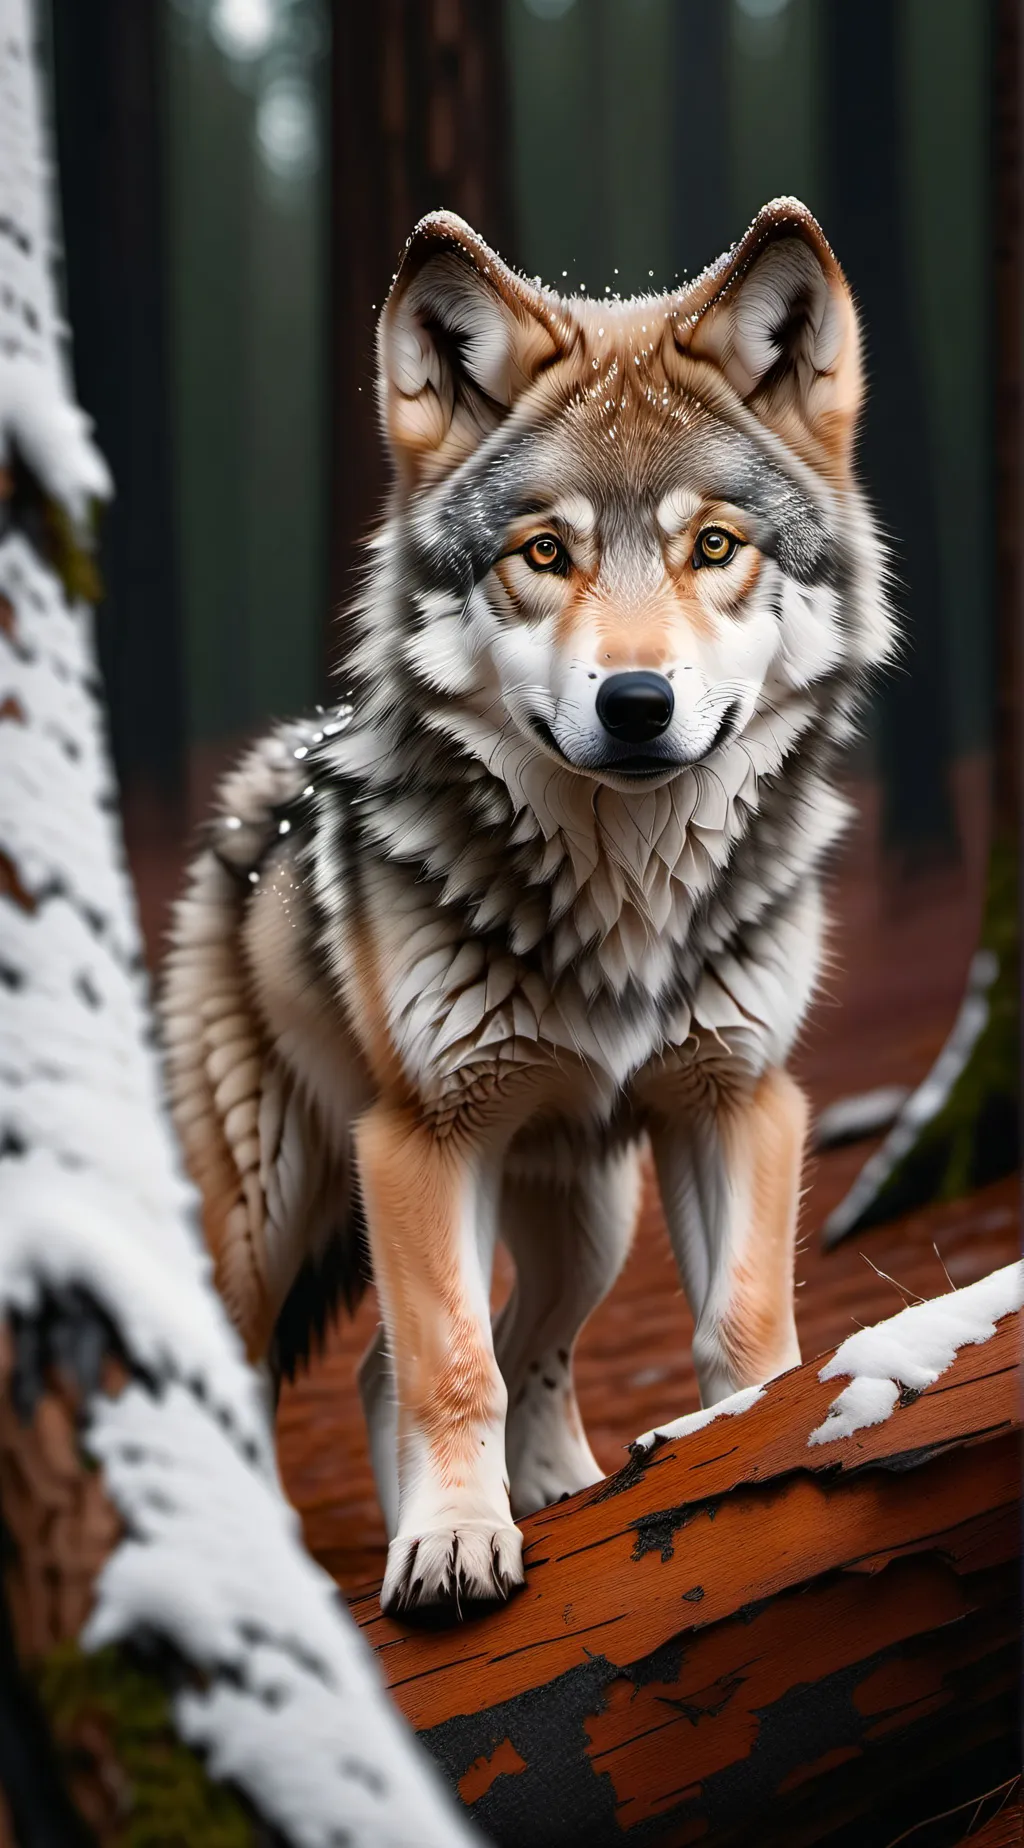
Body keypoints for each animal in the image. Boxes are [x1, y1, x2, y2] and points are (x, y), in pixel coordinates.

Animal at [161, 198, 893, 1618]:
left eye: (712, 547)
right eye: (544, 554)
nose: (636, 704)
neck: (624, 902)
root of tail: (272, 765)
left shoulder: (739, 1100)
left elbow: (740, 1328)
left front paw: (745, 1464)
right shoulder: (419, 1138)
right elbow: (454, 1367)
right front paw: (450, 1547)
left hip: (584, 1215)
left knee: (475, 1356)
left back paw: (558, 1492)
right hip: (267, 1223)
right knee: (316, 1378)